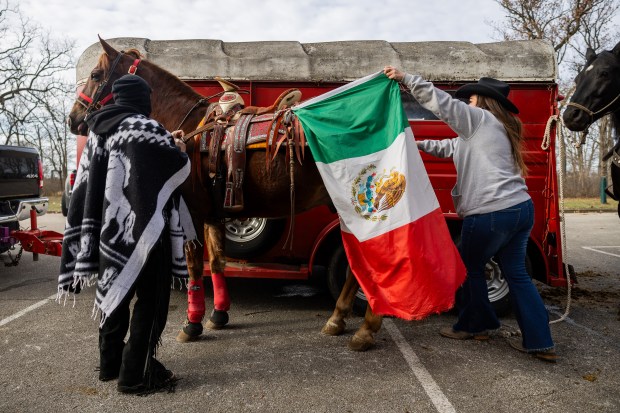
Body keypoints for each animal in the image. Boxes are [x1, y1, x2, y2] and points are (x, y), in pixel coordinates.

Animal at [68, 36, 386, 350]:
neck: (188, 130)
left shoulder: (192, 212)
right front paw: (218, 315)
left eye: (95, 76)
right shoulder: (214, 213)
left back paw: (365, 330)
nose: (73, 119)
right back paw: (339, 320)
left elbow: (196, 267)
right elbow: (218, 261)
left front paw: (192, 324)